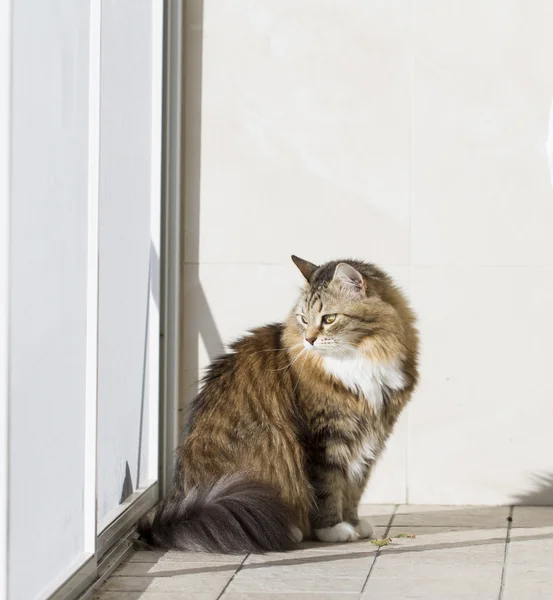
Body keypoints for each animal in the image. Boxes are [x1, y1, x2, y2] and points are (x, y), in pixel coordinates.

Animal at [139, 255, 418, 552]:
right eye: (304, 319)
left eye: (329, 319)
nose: (309, 340)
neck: (362, 357)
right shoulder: (325, 438)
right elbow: (328, 488)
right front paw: (333, 529)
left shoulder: (370, 437)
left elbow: (354, 488)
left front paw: (354, 523)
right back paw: (288, 530)